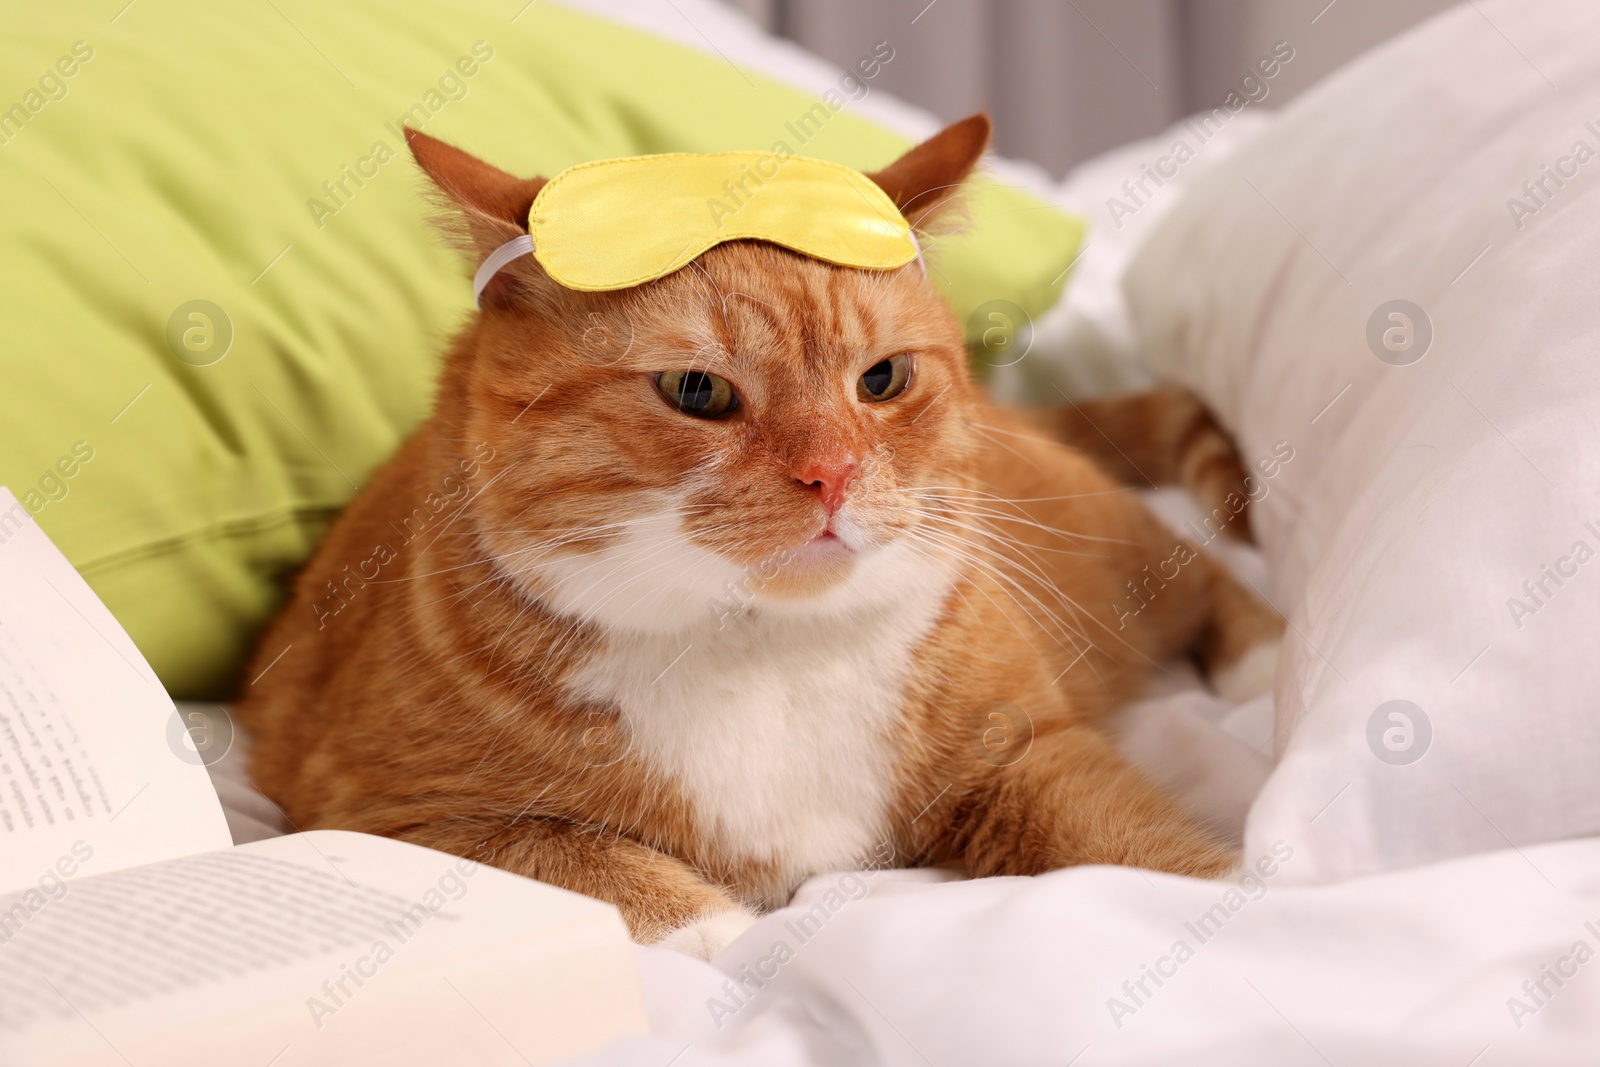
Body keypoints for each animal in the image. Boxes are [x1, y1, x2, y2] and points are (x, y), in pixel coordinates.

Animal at [240, 115, 1286, 959]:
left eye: (883, 379)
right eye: (697, 390)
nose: (833, 472)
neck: (764, 650)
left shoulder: (1025, 753)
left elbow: (1132, 851)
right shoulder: (380, 810)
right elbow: (568, 854)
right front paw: (713, 928)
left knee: (1201, 573)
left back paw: (1267, 664)